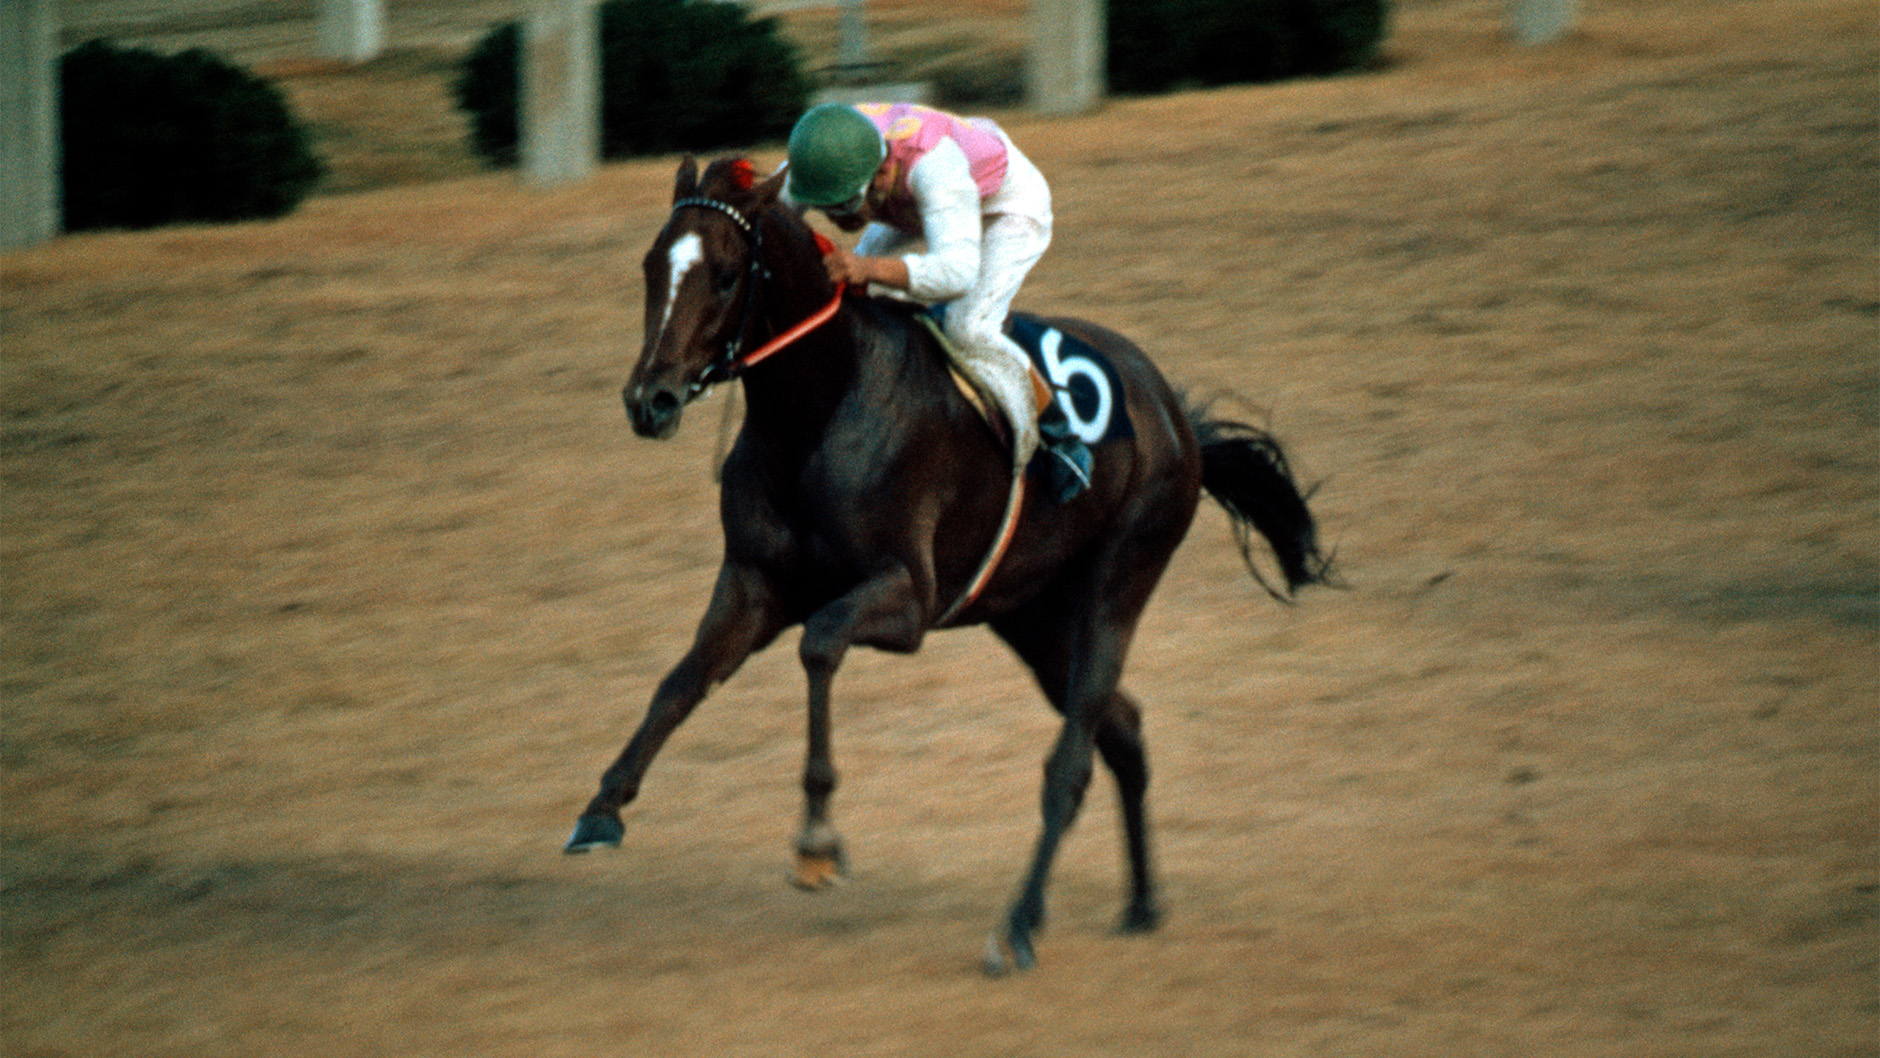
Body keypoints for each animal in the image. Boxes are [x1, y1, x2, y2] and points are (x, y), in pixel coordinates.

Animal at [565, 155, 1333, 974]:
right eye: (652, 265)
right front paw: (601, 810)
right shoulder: (754, 582)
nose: (649, 400)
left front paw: (817, 843)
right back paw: (1141, 905)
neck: (819, 407)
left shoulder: (906, 598)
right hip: (1031, 615)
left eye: (726, 275)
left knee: (1072, 762)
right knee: (1121, 728)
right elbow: (680, 681)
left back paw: (1018, 926)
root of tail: (1175, 414)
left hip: (1120, 579)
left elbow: (820, 643)